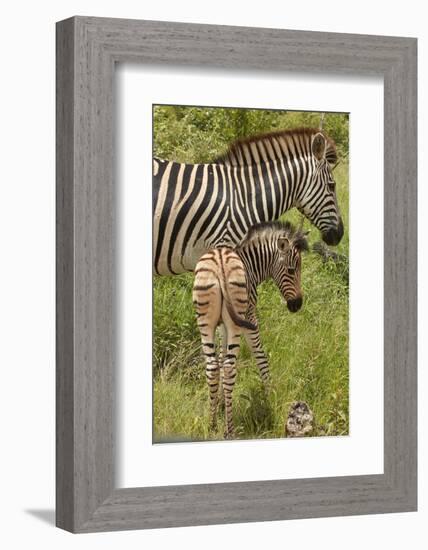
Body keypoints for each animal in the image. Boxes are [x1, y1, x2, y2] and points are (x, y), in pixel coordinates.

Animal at [193, 221, 308, 440]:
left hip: (205, 320)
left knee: (212, 366)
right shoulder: (250, 315)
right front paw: (270, 394)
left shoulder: (221, 325)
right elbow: (260, 355)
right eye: (291, 270)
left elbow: (221, 358)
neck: (251, 265)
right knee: (230, 366)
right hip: (238, 321)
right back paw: (229, 430)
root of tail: (220, 265)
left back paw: (212, 424)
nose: (297, 305)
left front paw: (221, 403)